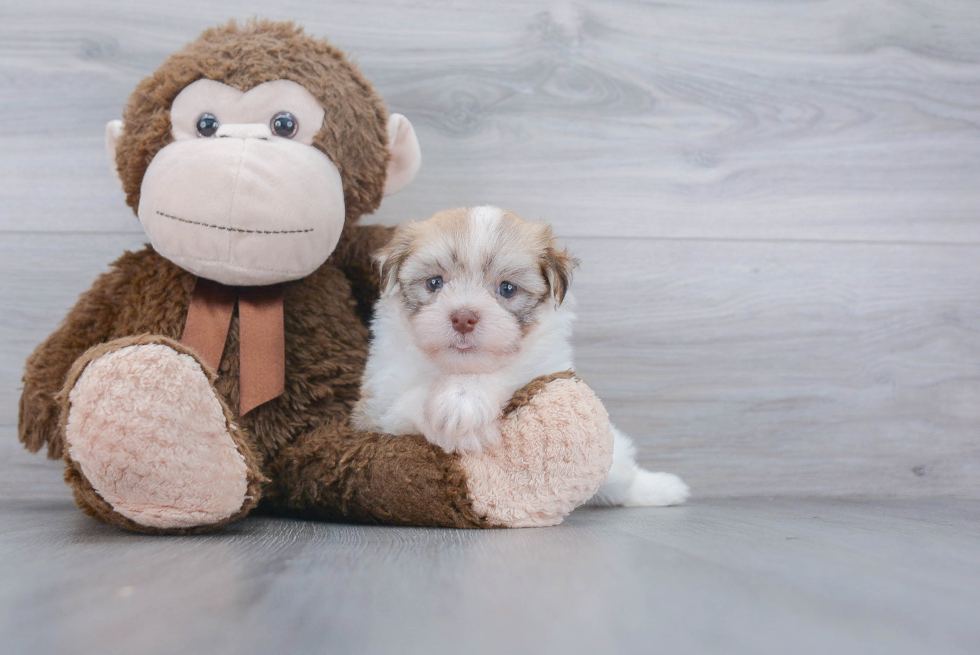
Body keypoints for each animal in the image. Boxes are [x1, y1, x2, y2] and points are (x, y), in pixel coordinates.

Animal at [352, 205, 688, 508]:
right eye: (434, 283)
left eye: (507, 289)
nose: (463, 317)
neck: (457, 368)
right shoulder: (376, 408)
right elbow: (406, 401)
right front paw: (459, 419)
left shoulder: (547, 365)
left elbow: (513, 372)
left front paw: (464, 399)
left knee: (618, 474)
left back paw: (660, 489)